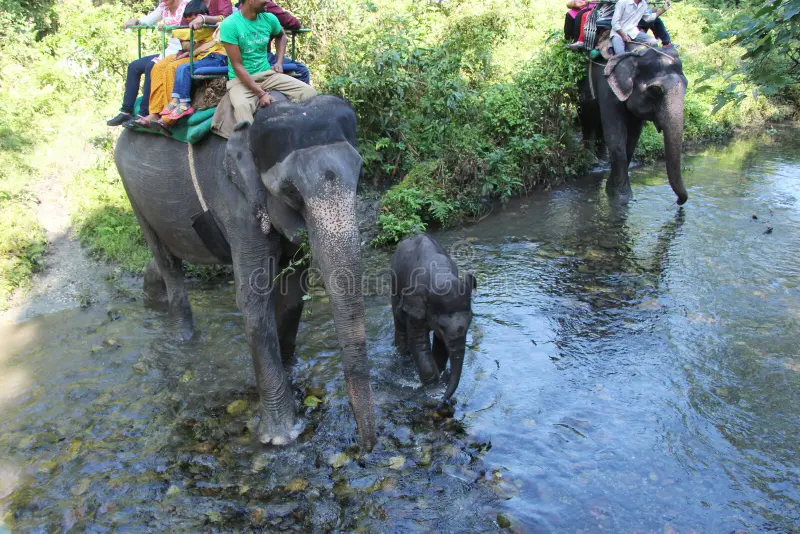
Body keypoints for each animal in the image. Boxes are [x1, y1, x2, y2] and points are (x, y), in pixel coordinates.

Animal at [114, 95, 376, 450]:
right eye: (290, 191)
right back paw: (182, 340)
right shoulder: (235, 203)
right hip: (132, 191)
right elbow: (253, 299)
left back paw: (151, 304)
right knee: (167, 262)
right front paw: (282, 437)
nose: (365, 448)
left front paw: (292, 370)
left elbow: (292, 291)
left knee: (165, 257)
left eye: (360, 175)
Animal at [390, 234, 476, 404]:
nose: (445, 401)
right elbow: (418, 342)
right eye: (441, 326)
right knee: (399, 320)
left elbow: (440, 346)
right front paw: (433, 390)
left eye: (471, 320)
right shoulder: (415, 308)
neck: (439, 275)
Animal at [580, 46, 689, 205]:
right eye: (655, 91)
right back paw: (591, 162)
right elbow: (615, 135)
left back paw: (601, 163)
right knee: (588, 122)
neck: (637, 54)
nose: (679, 201)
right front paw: (620, 197)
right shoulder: (608, 88)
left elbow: (632, 138)